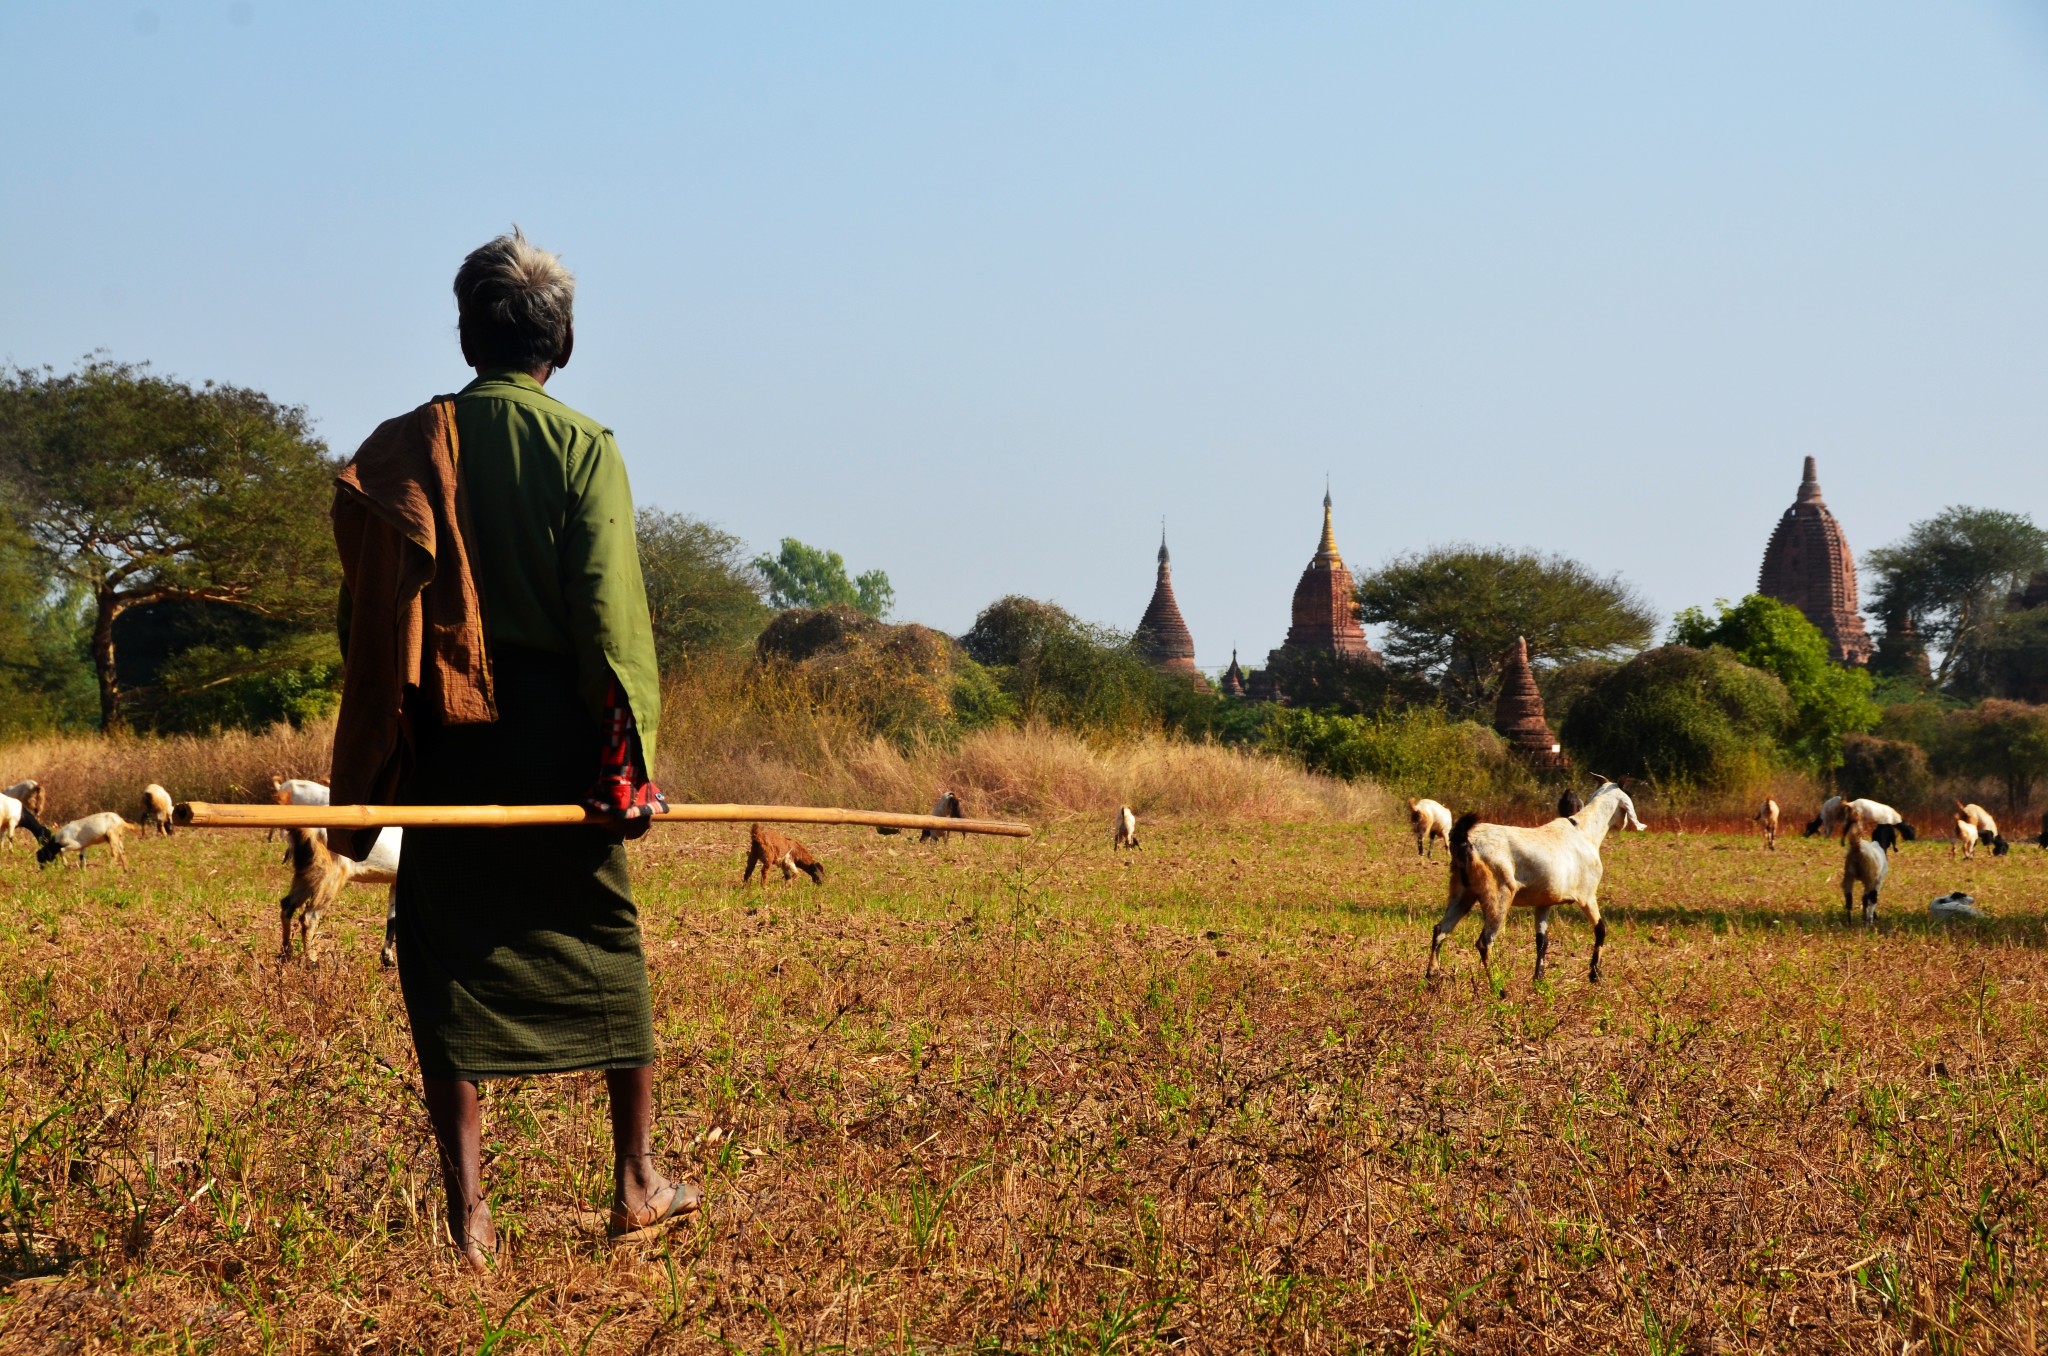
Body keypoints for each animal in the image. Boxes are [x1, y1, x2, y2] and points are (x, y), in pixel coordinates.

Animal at [1433, 786, 1654, 987]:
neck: (1584, 831)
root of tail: (1466, 840)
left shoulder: (1544, 902)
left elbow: (1542, 940)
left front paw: (1539, 978)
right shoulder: (1587, 895)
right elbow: (1601, 929)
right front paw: (1595, 975)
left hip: (1463, 893)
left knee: (1440, 930)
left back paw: (1431, 979)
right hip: (1498, 894)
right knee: (1485, 942)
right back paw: (1499, 988)